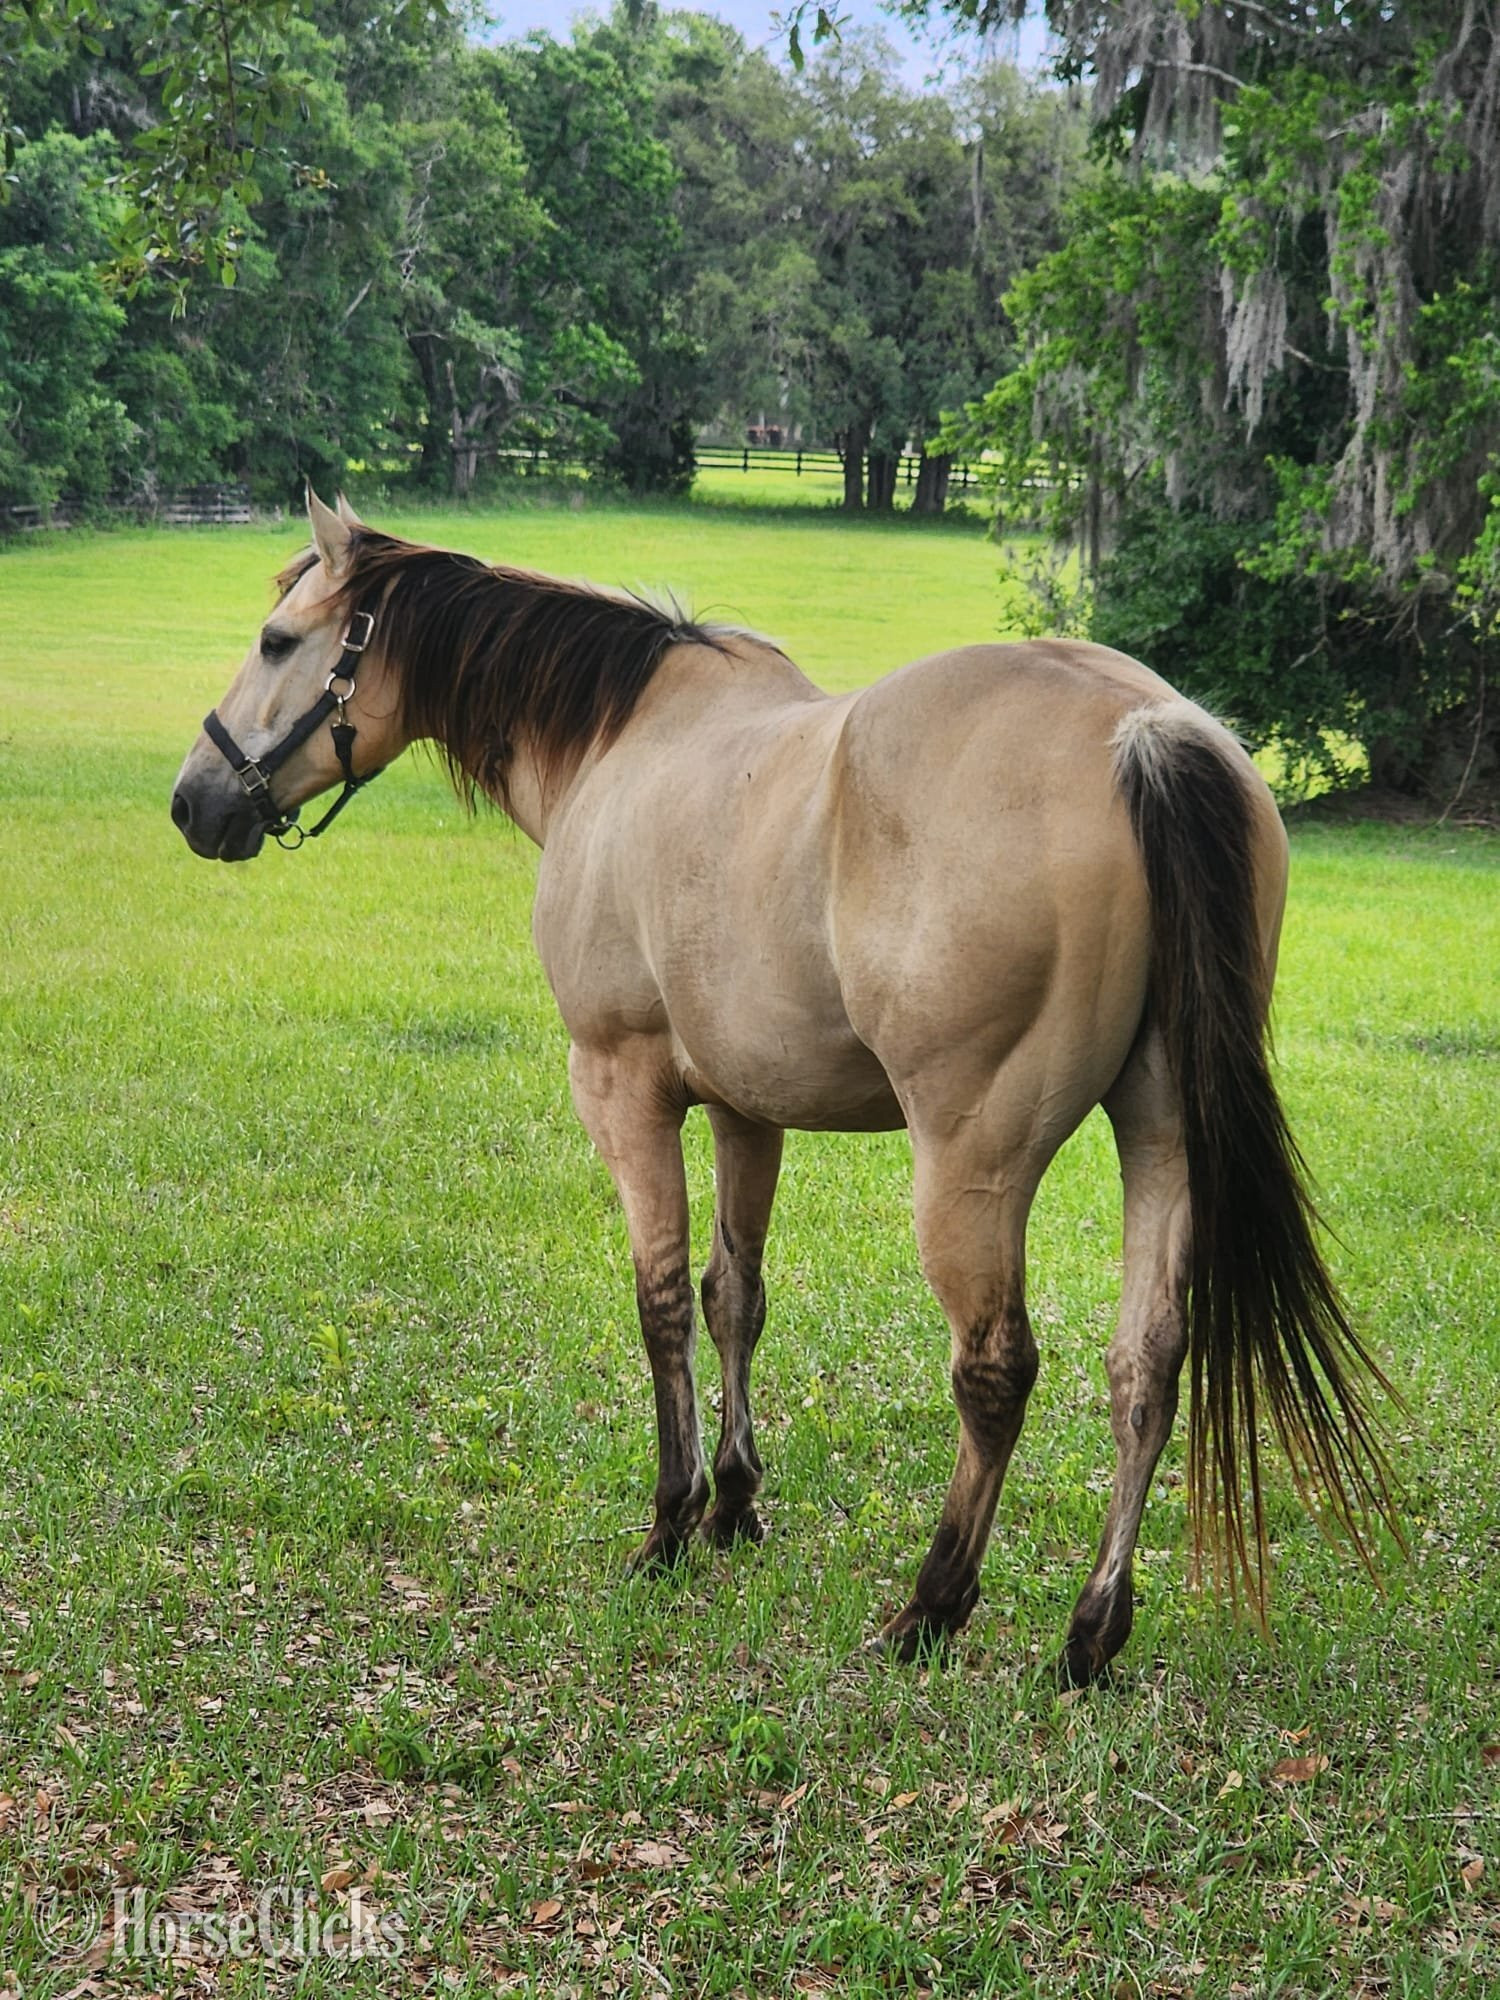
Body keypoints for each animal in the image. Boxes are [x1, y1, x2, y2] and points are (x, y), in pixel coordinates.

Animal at [171, 493, 1396, 1683]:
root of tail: (1139, 731)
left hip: (972, 1162)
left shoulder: (623, 1089)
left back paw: (932, 1606)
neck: (619, 742)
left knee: (995, 1371)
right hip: (1162, 1135)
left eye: (277, 639)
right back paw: (1090, 1634)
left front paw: (671, 1521)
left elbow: (663, 1298)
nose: (193, 801)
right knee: (1143, 1365)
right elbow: (734, 1297)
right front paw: (735, 1503)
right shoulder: (744, 1110)